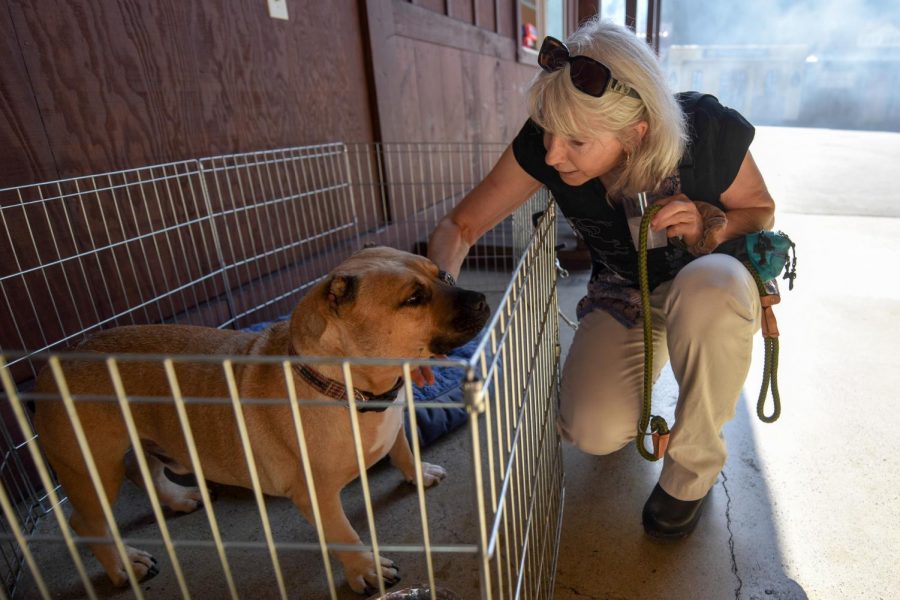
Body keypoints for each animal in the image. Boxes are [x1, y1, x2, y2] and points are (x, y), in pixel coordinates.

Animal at [31, 247, 488, 596]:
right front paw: (365, 569)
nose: (483, 299)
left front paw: (418, 471)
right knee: (86, 521)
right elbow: (343, 533)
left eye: (444, 274)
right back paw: (125, 565)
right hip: (91, 468)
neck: (347, 387)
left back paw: (178, 499)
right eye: (414, 298)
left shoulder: (393, 422)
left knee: (141, 470)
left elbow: (402, 448)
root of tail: (59, 361)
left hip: (151, 439)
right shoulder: (316, 495)